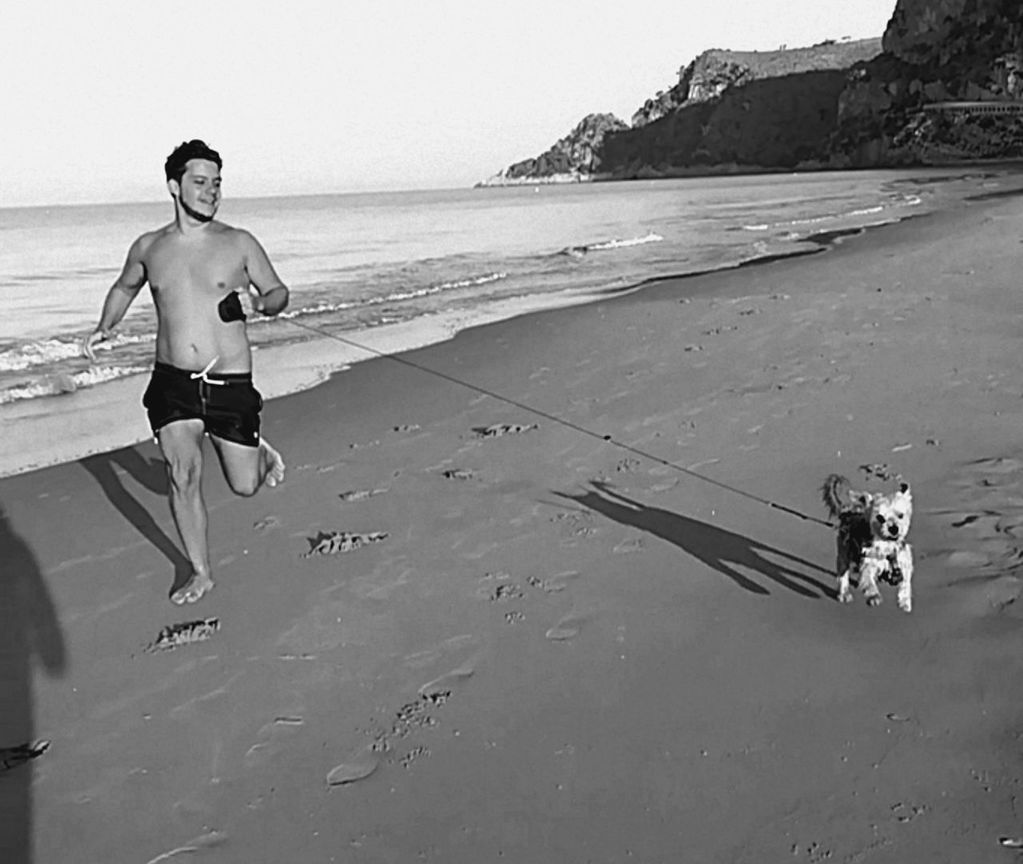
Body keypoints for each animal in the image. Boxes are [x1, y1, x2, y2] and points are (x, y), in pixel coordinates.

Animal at [818, 472, 916, 613]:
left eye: (901, 515)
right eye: (880, 517)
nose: (893, 528)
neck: (886, 545)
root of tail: (847, 512)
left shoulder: (903, 563)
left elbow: (906, 584)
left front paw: (905, 602)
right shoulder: (868, 564)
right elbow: (868, 581)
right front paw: (874, 596)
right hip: (844, 553)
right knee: (842, 575)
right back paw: (844, 594)